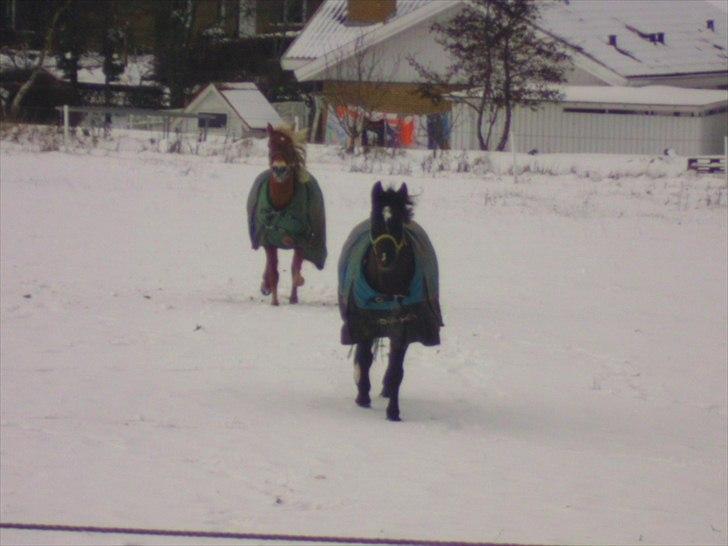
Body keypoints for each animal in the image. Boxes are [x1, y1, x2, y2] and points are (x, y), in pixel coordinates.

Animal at [336, 181, 444, 418]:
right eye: (375, 217)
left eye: (397, 221)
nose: (385, 257)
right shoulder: (364, 324)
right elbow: (365, 358)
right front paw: (363, 397)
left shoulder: (403, 328)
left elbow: (396, 371)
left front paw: (393, 412)